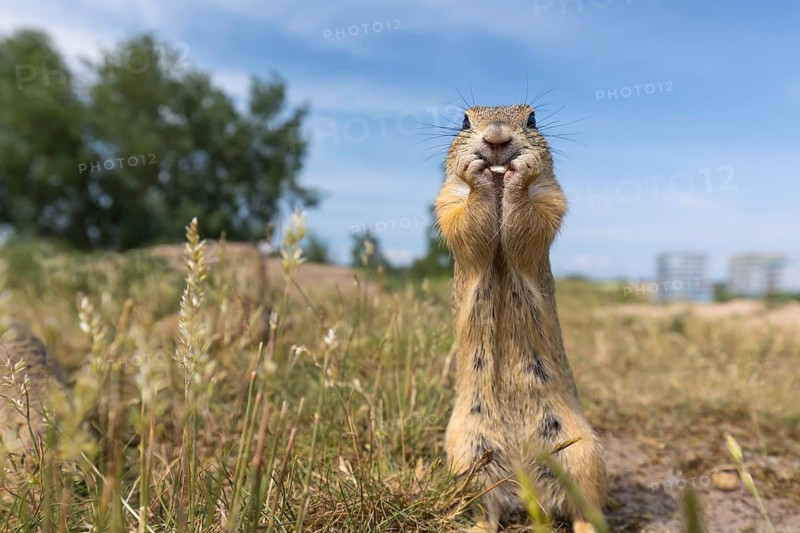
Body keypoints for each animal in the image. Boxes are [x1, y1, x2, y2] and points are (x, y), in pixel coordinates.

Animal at [435, 104, 606, 532]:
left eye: (532, 119)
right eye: (464, 120)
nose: (496, 138)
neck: (498, 190)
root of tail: (529, 490)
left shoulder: (551, 197)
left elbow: (533, 219)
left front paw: (521, 171)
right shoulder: (447, 201)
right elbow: (463, 221)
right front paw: (476, 171)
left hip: (583, 455)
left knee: (586, 509)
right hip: (466, 455)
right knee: (486, 507)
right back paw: (477, 526)